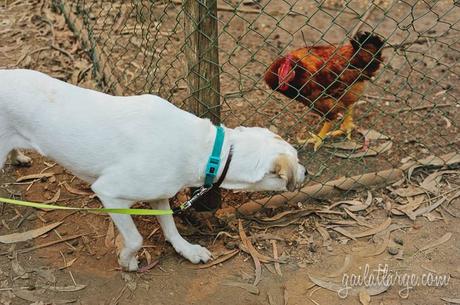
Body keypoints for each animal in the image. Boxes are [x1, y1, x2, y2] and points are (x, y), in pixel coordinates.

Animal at [0, 69, 306, 270]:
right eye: (297, 161)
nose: (306, 173)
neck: (207, 149)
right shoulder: (108, 193)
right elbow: (136, 239)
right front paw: (127, 260)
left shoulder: (160, 194)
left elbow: (171, 228)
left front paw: (187, 250)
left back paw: (19, 158)